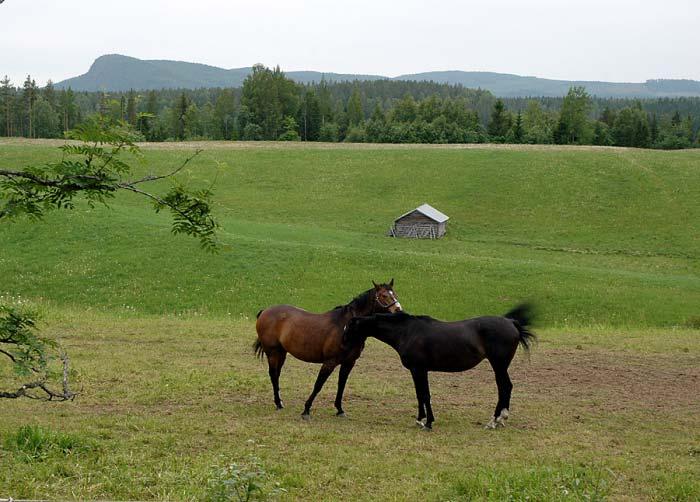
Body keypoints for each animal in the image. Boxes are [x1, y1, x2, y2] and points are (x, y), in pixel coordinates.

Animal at [254, 280, 402, 418]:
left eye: (394, 294)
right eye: (383, 295)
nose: (398, 310)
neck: (346, 328)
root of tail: (265, 311)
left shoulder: (349, 363)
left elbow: (341, 385)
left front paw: (340, 409)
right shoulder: (330, 362)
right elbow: (318, 384)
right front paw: (306, 409)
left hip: (282, 353)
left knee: (277, 374)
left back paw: (279, 402)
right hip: (272, 352)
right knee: (273, 374)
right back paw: (278, 403)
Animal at [344, 304, 536, 430]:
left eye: (349, 329)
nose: (343, 346)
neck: (407, 332)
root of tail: (511, 322)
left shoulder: (419, 369)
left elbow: (425, 395)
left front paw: (428, 422)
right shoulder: (417, 371)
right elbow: (420, 394)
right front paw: (420, 419)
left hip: (499, 365)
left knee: (504, 387)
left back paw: (494, 420)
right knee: (505, 388)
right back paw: (500, 419)